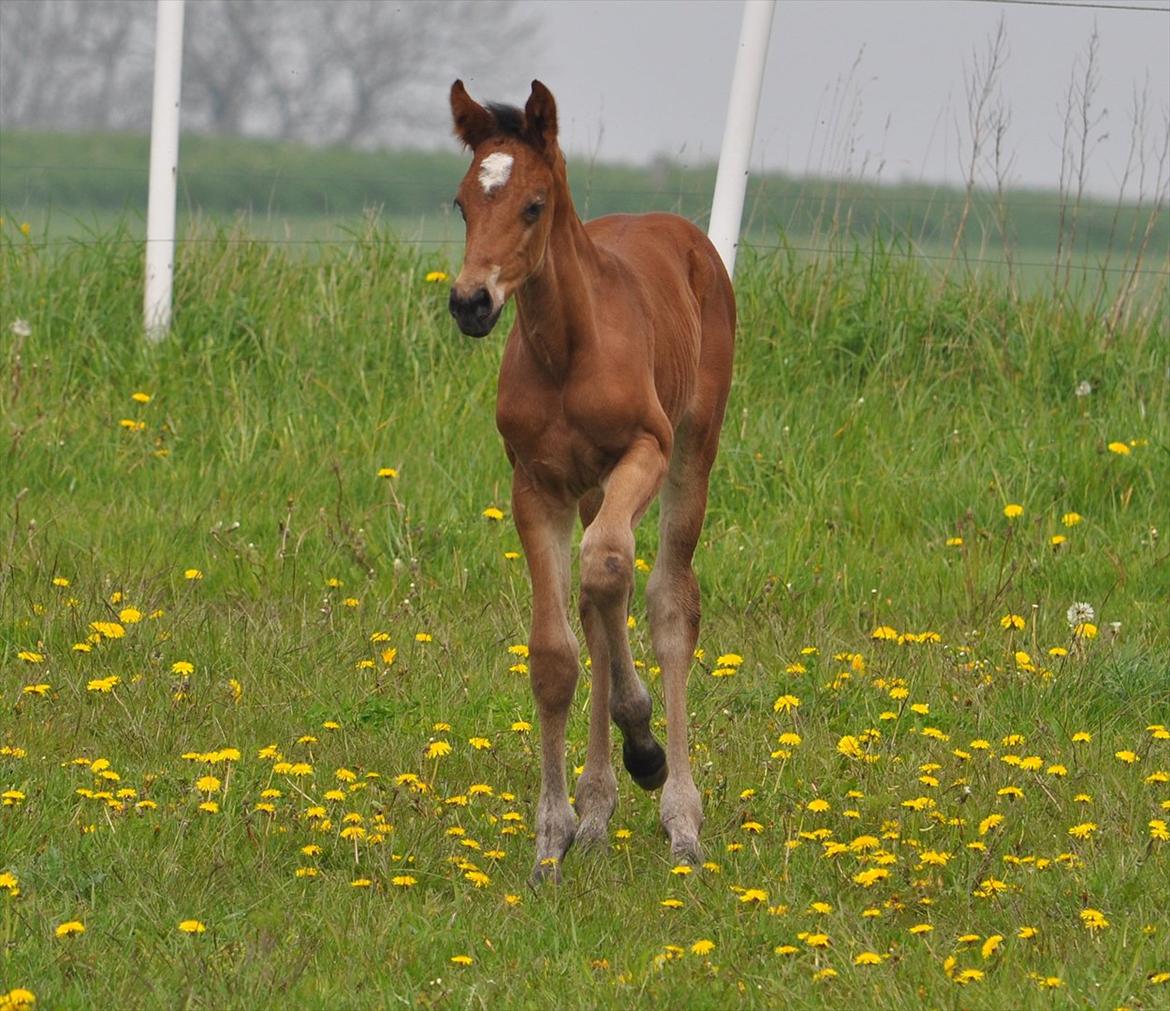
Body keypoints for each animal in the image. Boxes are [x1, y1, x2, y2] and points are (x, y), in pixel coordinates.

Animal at [444, 80, 730, 884]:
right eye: (461, 204)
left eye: (534, 204)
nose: (470, 303)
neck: (569, 348)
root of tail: (684, 234)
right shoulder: (536, 485)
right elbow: (556, 652)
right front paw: (552, 836)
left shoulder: (646, 449)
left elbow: (612, 573)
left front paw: (650, 758)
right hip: (595, 485)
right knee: (601, 602)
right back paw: (600, 806)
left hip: (691, 449)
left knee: (664, 598)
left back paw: (678, 811)